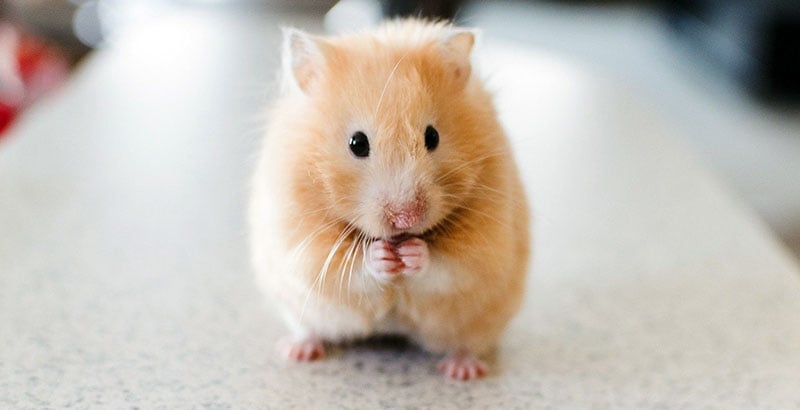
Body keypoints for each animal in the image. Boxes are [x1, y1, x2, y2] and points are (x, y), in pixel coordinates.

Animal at [249, 19, 530, 381]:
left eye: (432, 136)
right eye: (357, 143)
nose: (406, 218)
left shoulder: (486, 246)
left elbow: (448, 266)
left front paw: (412, 254)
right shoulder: (302, 243)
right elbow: (348, 267)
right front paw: (382, 256)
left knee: (466, 343)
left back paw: (462, 371)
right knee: (309, 328)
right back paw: (297, 351)